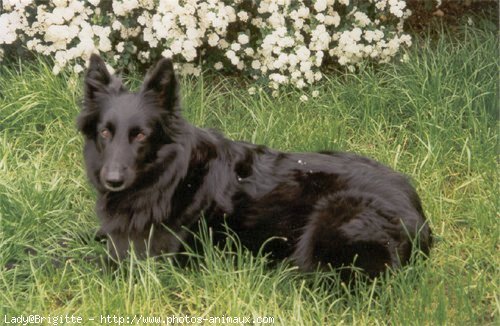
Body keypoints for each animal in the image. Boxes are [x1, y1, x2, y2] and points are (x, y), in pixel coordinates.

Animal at [77, 55, 430, 278]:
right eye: (105, 132)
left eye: (141, 135)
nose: (112, 180)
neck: (168, 176)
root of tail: (420, 214)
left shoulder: (141, 257)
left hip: (331, 221)